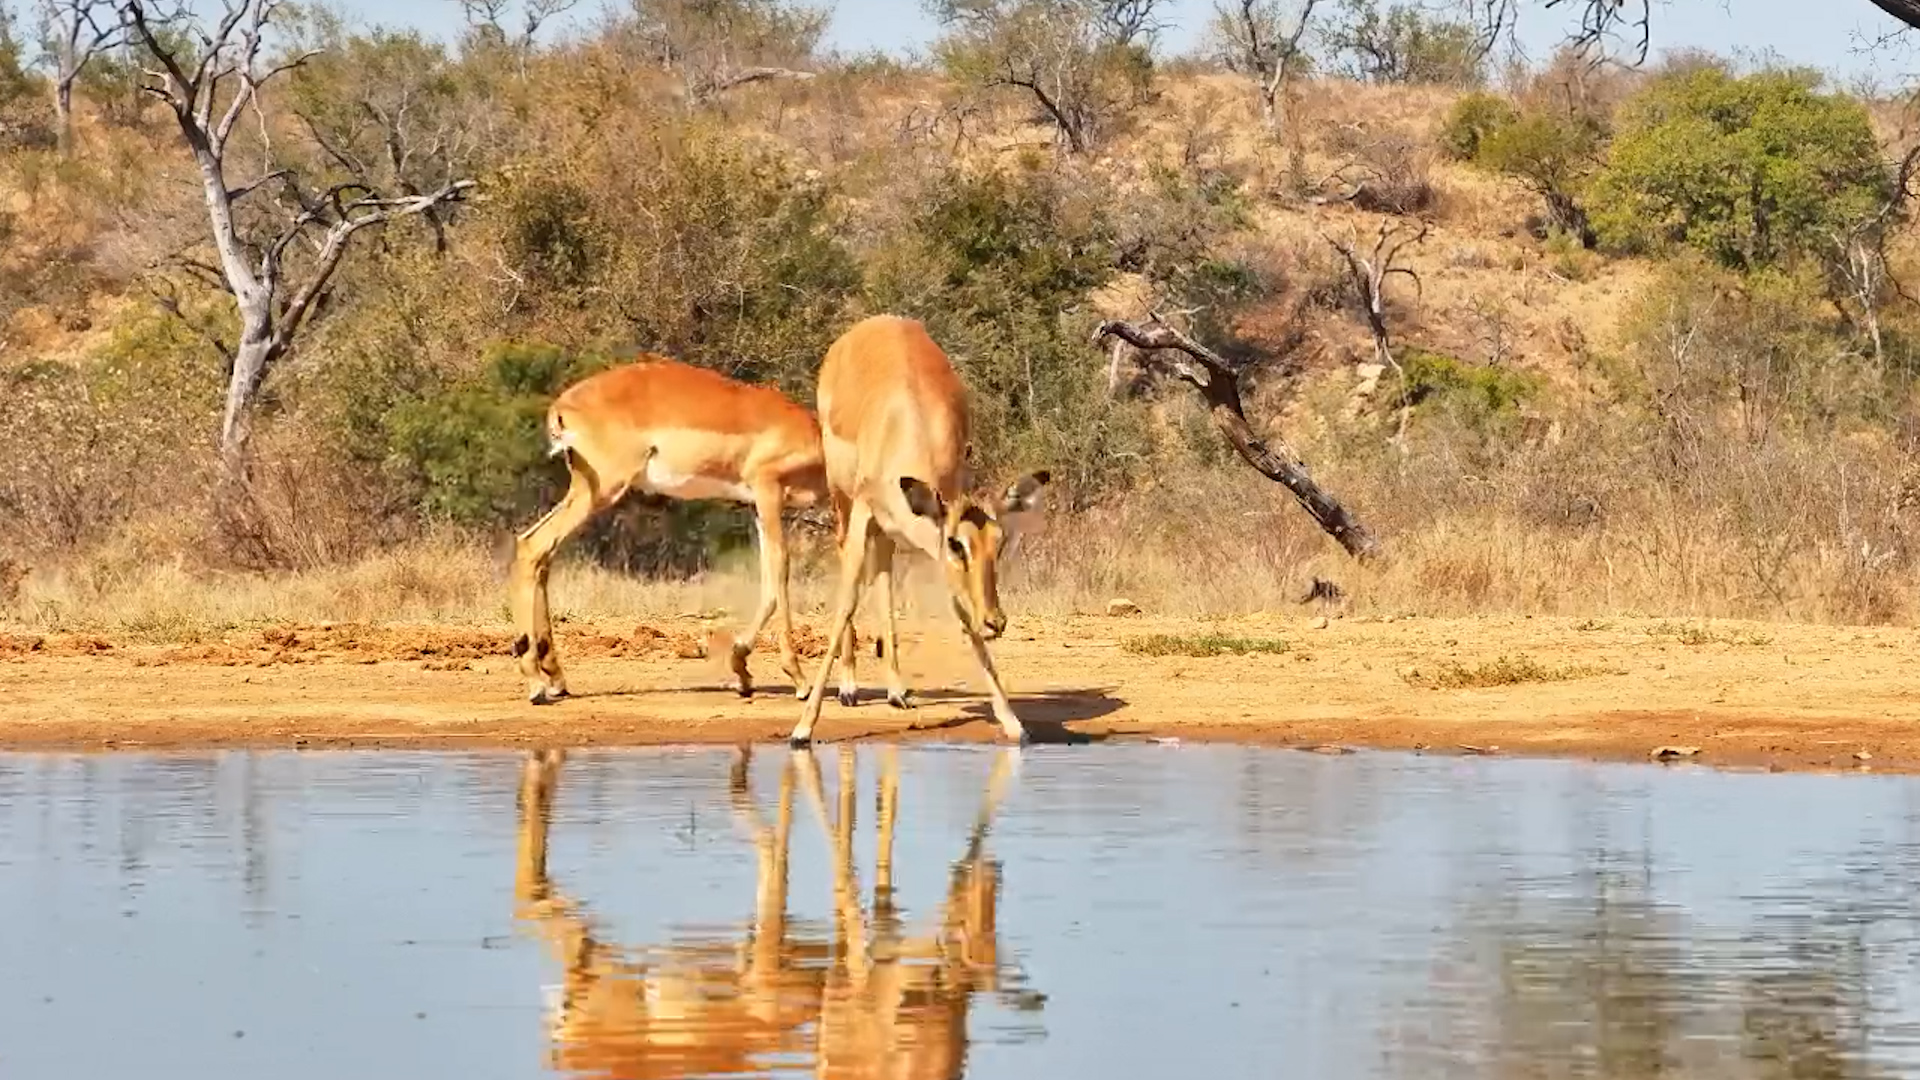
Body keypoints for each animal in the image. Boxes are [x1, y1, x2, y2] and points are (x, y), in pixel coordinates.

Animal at [509, 356, 829, 705]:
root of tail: (561, 406)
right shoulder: (769, 492)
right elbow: (781, 574)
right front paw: (798, 679)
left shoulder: (756, 505)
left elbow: (769, 579)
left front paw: (743, 672)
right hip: (603, 487)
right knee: (533, 545)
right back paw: (536, 683)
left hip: (585, 488)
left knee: (541, 555)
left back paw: (554, 677)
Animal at [792, 315, 1051, 747]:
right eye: (957, 544)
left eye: (999, 543)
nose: (996, 622)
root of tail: (873, 322)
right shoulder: (865, 510)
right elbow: (846, 602)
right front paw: (802, 728)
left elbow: (960, 614)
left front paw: (1014, 723)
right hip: (842, 500)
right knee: (848, 564)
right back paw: (848, 689)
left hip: (885, 526)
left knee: (882, 571)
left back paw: (897, 691)